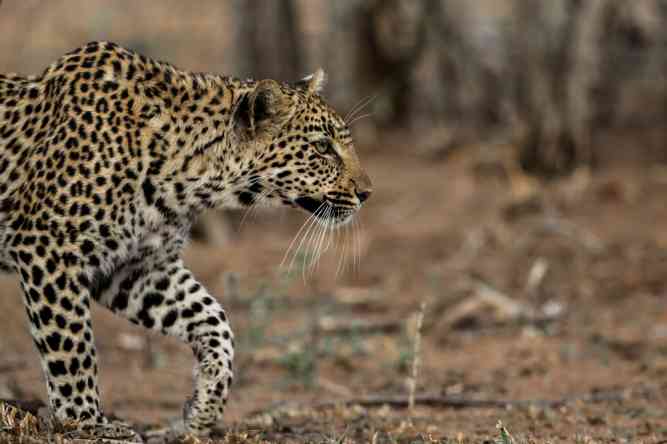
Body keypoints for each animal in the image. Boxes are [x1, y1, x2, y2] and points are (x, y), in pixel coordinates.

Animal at [0, 41, 372, 437]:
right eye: (322, 148)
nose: (367, 193)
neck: (188, 177)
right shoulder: (48, 246)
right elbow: (71, 348)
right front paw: (86, 422)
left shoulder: (136, 267)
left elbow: (215, 320)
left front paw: (202, 409)